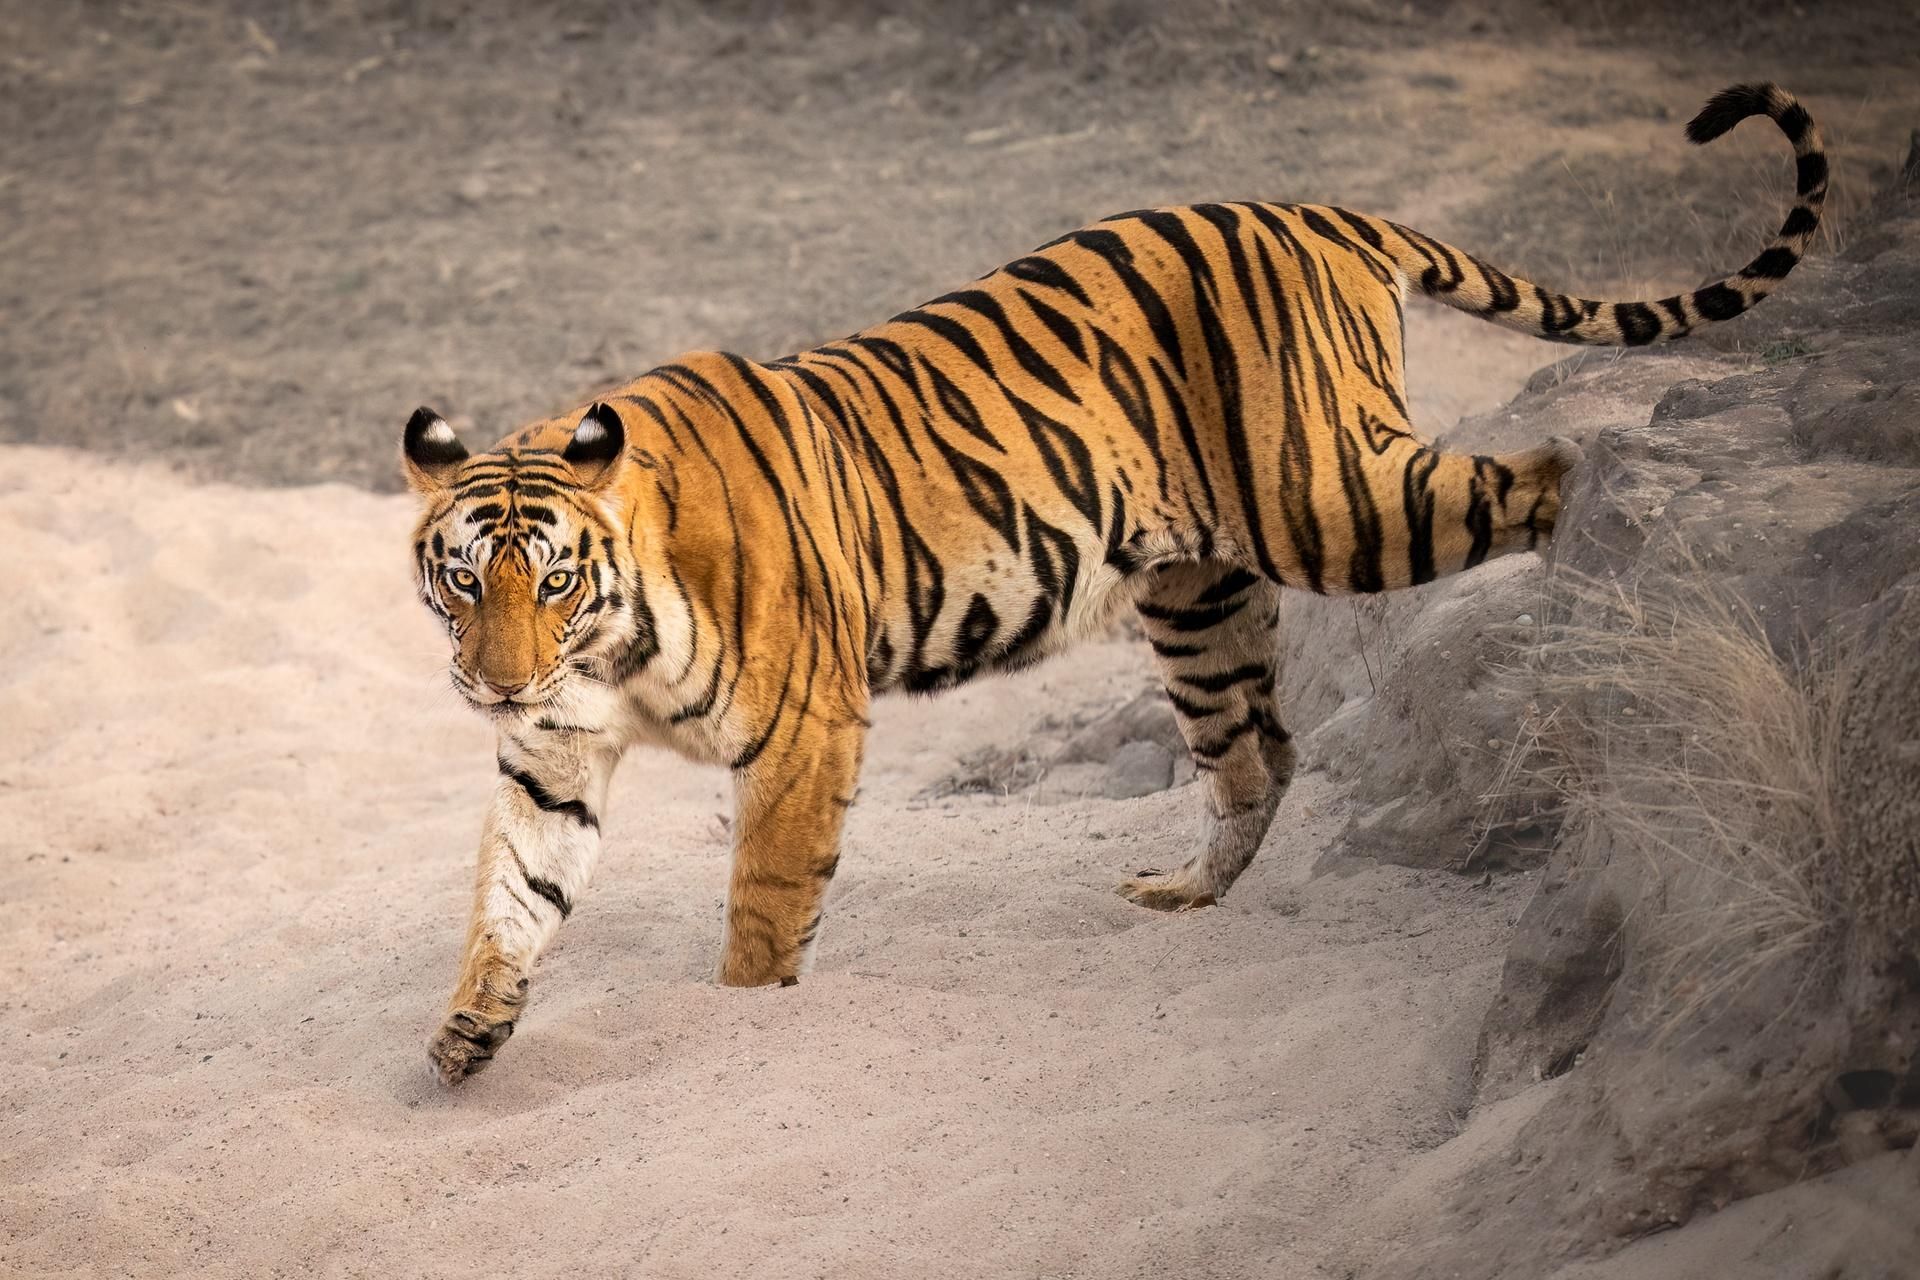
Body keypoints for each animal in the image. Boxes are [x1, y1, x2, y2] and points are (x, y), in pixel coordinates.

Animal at [404, 84, 1824, 1084]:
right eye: (462, 580)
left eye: (552, 579)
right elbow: (512, 892)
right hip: (1200, 592)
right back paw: (1185, 897)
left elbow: (761, 911)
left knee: (1550, 466)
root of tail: (1319, 211)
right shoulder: (554, 753)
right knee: (1261, 750)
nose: (496, 682)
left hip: (1336, 504)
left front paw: (738, 1029)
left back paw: (1613, 565)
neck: (608, 641)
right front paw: (472, 1029)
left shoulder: (804, 731)